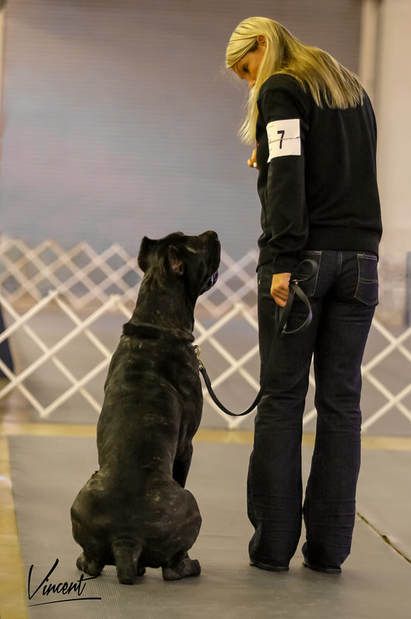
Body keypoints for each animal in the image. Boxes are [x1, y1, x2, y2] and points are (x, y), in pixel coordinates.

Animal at [70, 230, 222, 584]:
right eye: (196, 244)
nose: (212, 233)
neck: (155, 324)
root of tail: (126, 539)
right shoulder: (186, 445)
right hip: (190, 504)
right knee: (172, 567)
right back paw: (189, 565)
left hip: (82, 501)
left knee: (93, 561)